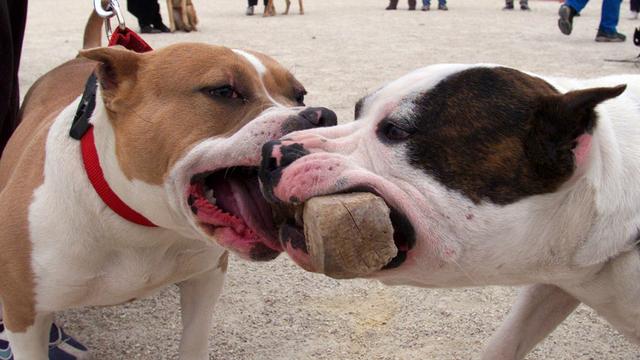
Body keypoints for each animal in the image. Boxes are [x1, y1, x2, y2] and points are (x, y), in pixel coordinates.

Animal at [0, 12, 338, 358]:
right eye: (223, 91)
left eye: (299, 95)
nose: (322, 116)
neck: (141, 224)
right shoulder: (23, 314)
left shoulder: (206, 278)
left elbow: (194, 340)